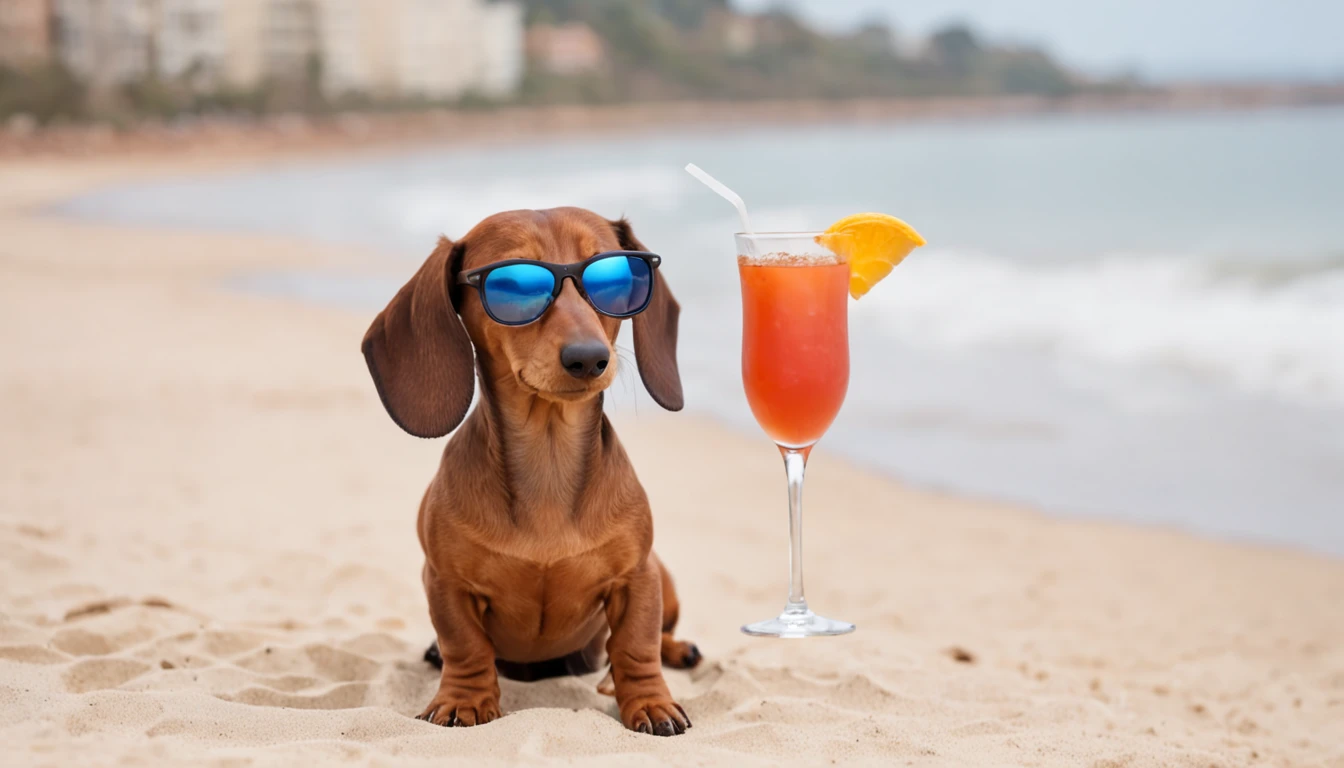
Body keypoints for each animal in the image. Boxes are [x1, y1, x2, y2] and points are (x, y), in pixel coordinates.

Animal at [368, 207, 704, 737]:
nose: (588, 358)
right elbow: (465, 645)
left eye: (613, 276)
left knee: (657, 636)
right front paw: (463, 700)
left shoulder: (638, 577)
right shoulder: (444, 581)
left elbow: (635, 644)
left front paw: (650, 702)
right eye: (513, 286)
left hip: (664, 578)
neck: (549, 457)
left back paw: (672, 652)